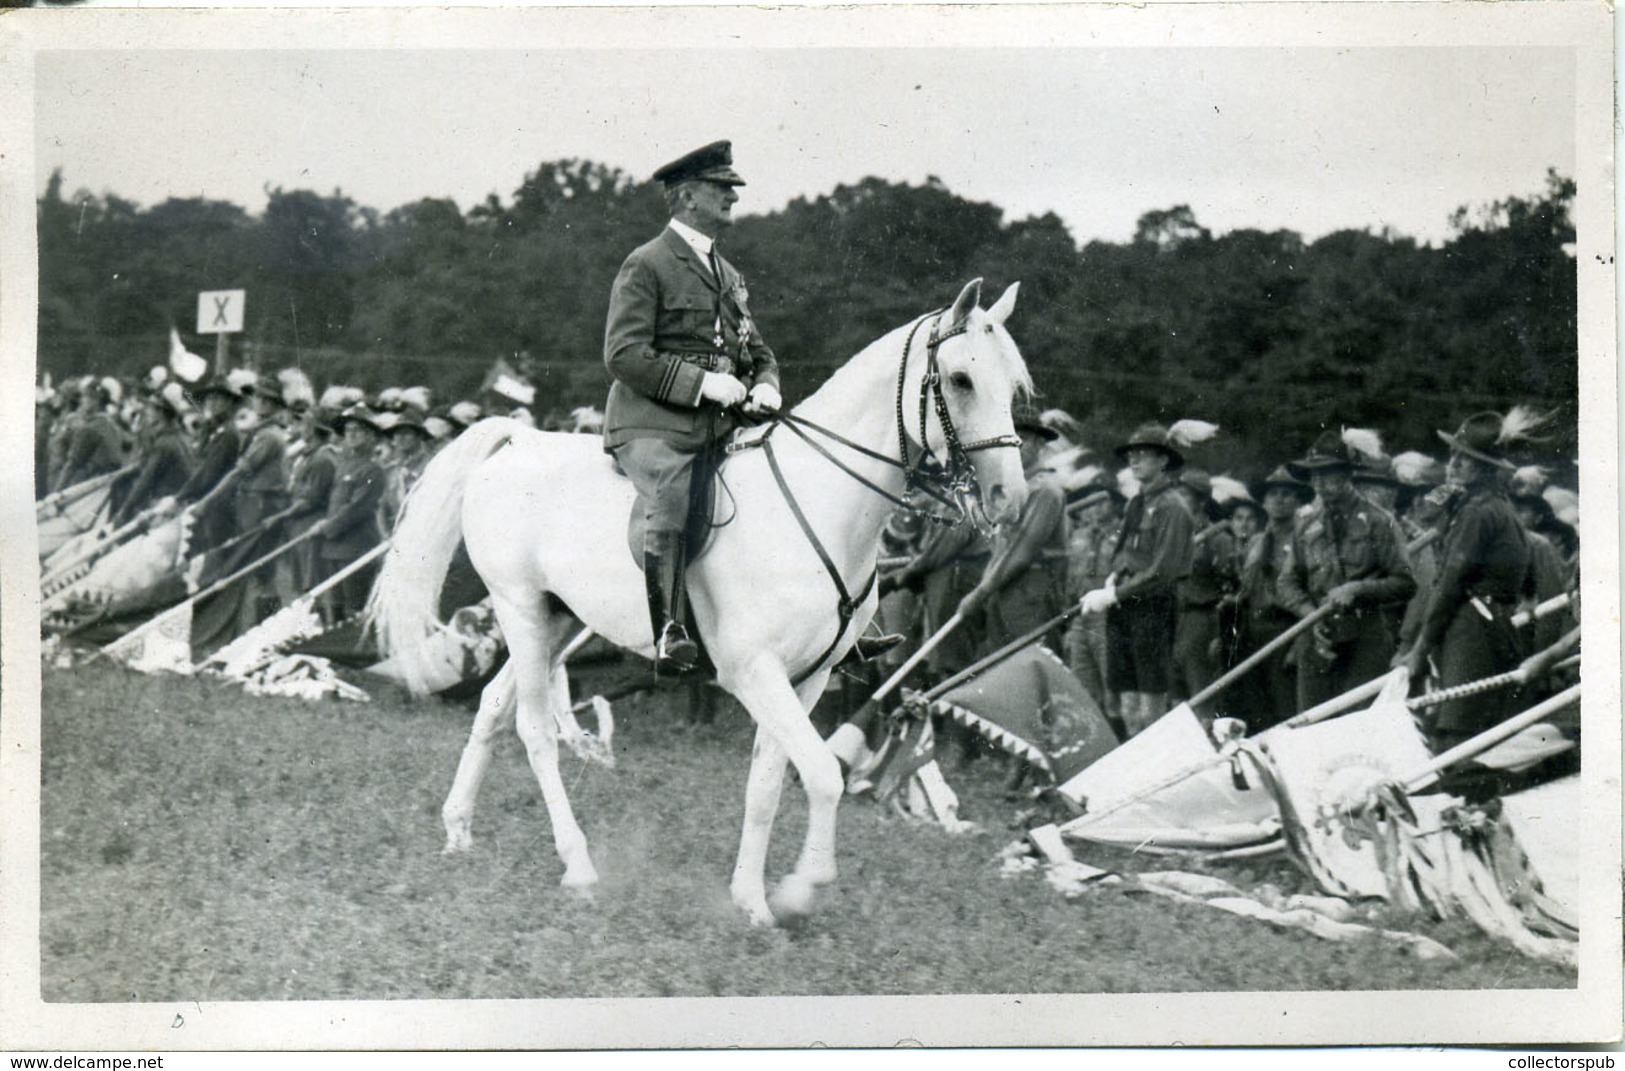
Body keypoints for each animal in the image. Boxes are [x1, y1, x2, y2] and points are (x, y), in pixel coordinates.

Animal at [368, 281, 1027, 923]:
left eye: (1014, 386)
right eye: (962, 380)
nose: (1010, 499)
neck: (819, 502)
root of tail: (521, 439)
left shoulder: (808, 677)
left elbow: (767, 783)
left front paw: (751, 899)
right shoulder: (754, 670)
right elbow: (821, 774)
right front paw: (801, 889)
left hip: (558, 620)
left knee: (493, 704)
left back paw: (458, 829)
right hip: (521, 609)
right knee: (534, 728)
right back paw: (578, 866)